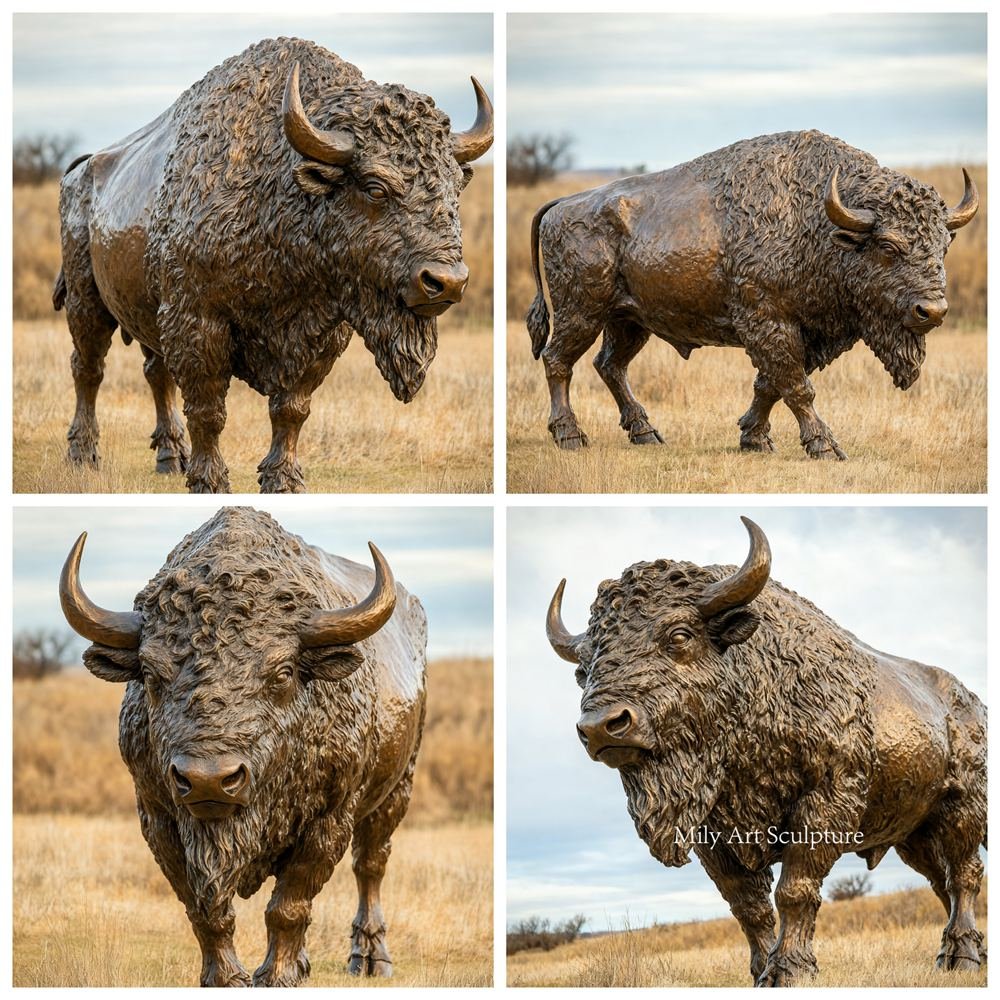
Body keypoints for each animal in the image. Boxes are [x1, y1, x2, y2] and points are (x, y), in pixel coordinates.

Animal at [55, 37, 493, 492]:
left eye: (455, 186)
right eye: (375, 187)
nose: (446, 282)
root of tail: (80, 171)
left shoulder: (321, 333)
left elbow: (291, 409)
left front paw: (283, 481)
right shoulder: (196, 322)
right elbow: (209, 411)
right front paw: (209, 482)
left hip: (143, 309)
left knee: (155, 372)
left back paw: (170, 457)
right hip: (86, 302)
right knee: (88, 368)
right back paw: (83, 455)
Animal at [59, 507, 427, 986]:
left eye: (283, 672)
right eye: (152, 675)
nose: (208, 781)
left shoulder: (330, 818)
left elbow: (288, 906)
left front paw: (277, 976)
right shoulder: (158, 818)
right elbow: (205, 911)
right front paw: (225, 977)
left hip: (397, 789)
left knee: (370, 865)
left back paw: (370, 958)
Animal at [527, 130, 978, 458]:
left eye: (943, 245)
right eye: (887, 246)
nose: (932, 311)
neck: (817, 222)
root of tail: (561, 205)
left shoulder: (805, 333)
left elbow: (771, 385)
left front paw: (754, 439)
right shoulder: (769, 322)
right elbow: (795, 385)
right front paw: (825, 447)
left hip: (630, 321)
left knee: (610, 366)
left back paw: (647, 433)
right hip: (581, 312)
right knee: (558, 361)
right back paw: (570, 437)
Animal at [547, 517, 986, 985]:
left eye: (679, 635)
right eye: (583, 667)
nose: (600, 726)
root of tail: (973, 703)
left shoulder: (823, 803)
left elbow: (793, 890)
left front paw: (788, 970)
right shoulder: (714, 837)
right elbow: (748, 907)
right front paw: (761, 971)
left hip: (961, 811)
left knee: (963, 875)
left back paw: (961, 957)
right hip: (912, 833)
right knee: (941, 881)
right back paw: (962, 952)